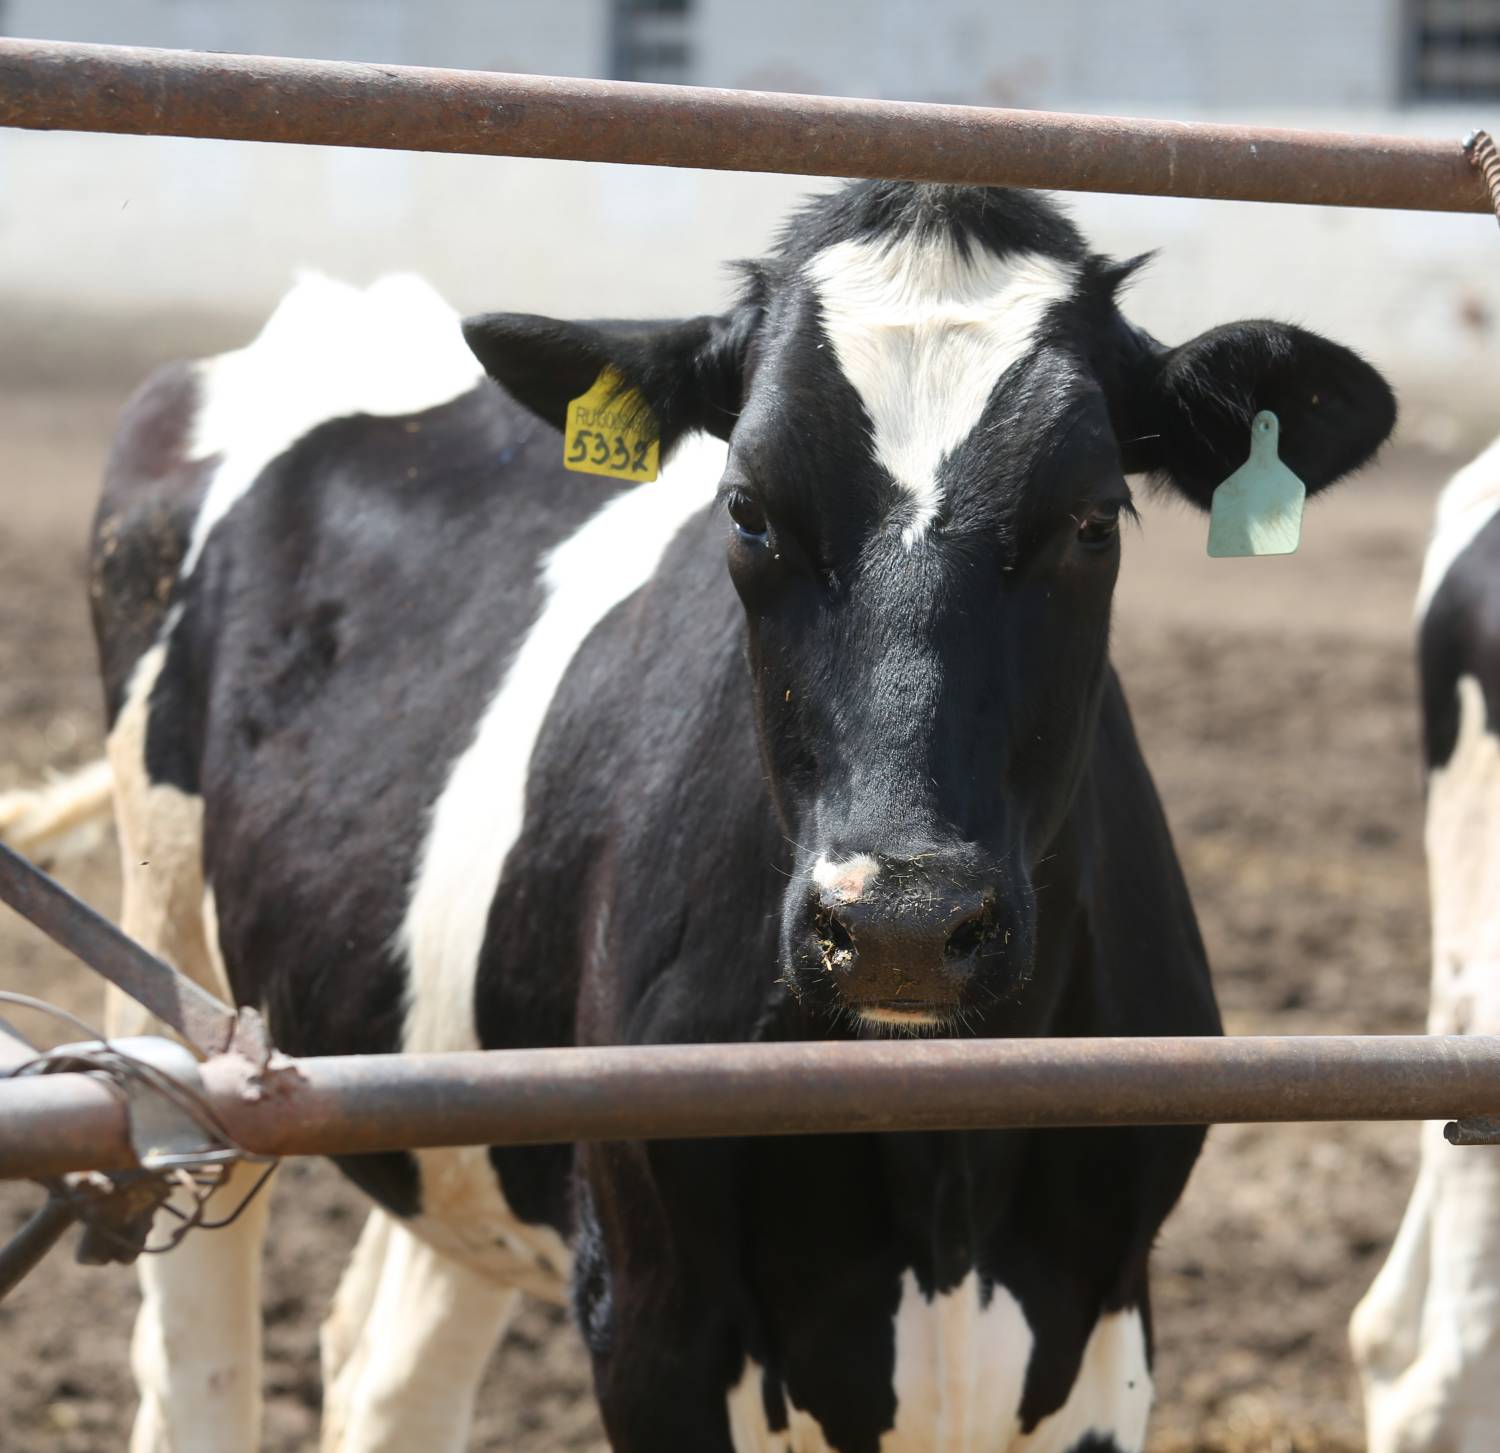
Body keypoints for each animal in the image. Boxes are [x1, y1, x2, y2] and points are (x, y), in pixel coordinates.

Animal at [17, 184, 1392, 1451]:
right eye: (748, 508)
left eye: (1094, 517)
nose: (901, 925)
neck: (941, 1167)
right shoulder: (654, 1312)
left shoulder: (1105, 1314)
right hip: (180, 1003)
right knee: (194, 1356)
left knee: (385, 1368)